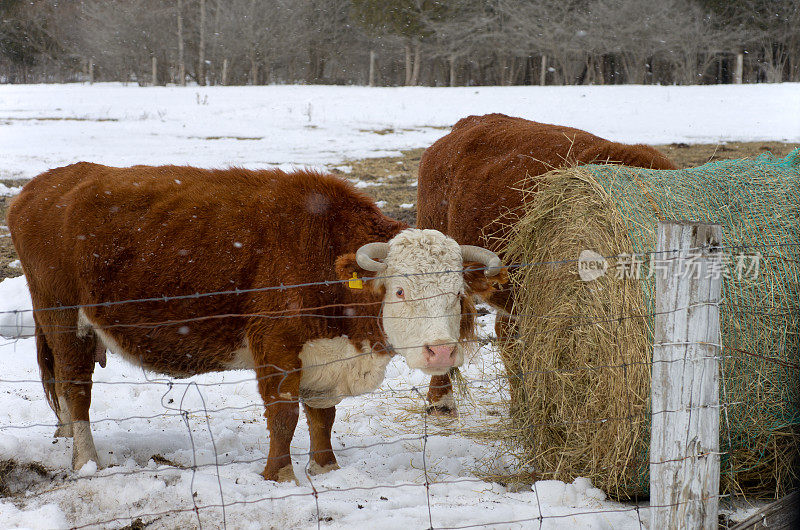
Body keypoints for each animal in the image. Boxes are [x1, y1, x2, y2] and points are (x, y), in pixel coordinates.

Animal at [7, 163, 506, 480]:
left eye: (457, 293)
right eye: (400, 290)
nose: (440, 351)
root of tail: (44, 185)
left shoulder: (323, 355)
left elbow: (322, 415)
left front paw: (325, 467)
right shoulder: (277, 348)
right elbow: (284, 415)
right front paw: (280, 474)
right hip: (64, 322)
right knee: (75, 391)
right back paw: (86, 462)